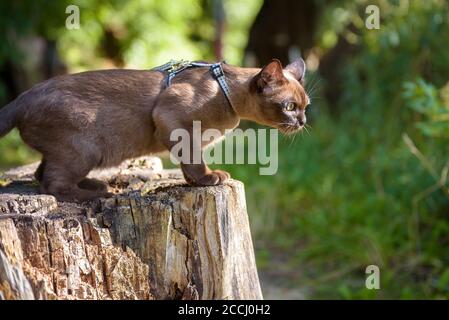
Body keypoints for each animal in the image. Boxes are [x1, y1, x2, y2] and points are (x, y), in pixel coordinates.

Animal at [0, 58, 308, 201]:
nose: (303, 121)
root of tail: (23, 96)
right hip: (83, 151)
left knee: (40, 174)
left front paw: (195, 183)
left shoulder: (186, 135)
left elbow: (188, 165)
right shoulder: (173, 120)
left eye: (305, 106)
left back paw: (95, 185)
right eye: (290, 106)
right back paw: (100, 193)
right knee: (52, 184)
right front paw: (209, 179)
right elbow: (195, 161)